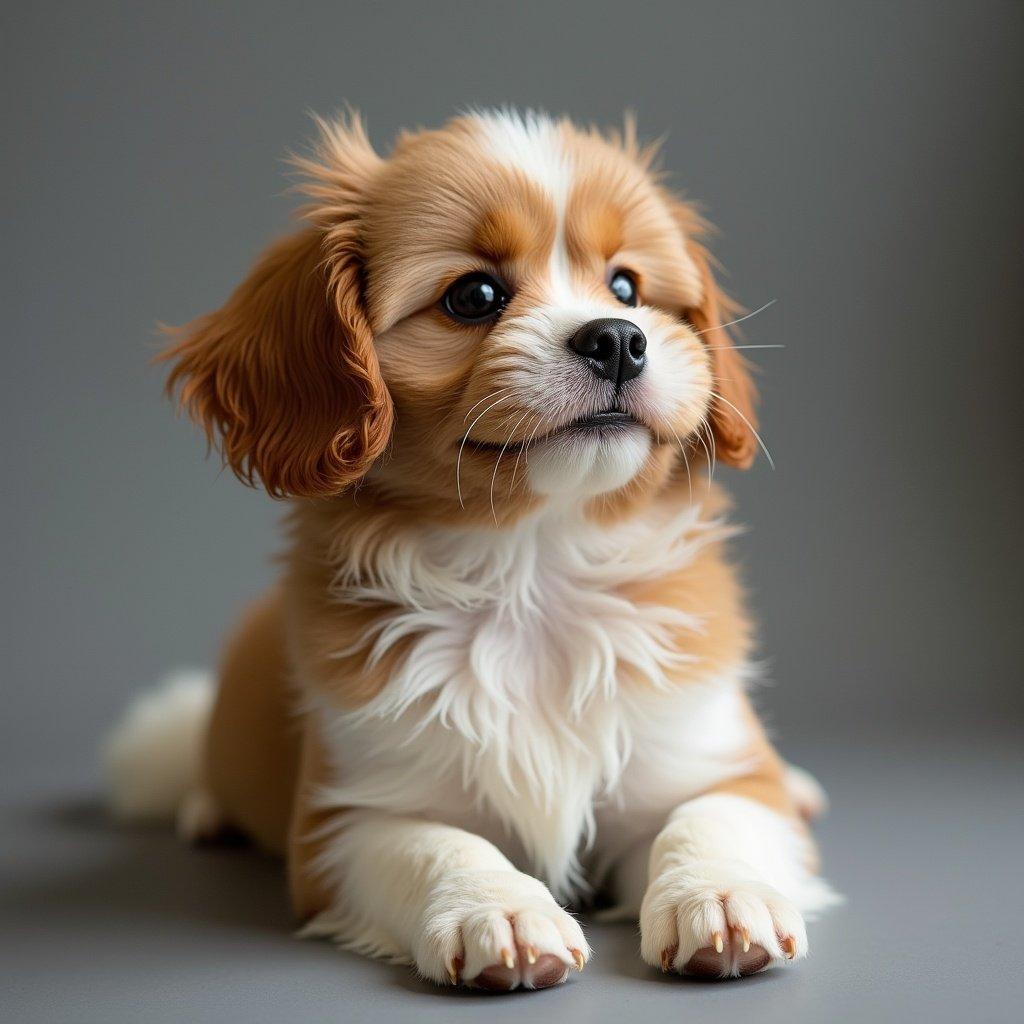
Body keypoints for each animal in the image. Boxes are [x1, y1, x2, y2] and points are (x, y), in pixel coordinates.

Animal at [108, 108, 835, 987]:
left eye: (627, 287)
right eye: (475, 296)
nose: (618, 338)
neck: (534, 564)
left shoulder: (705, 758)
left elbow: (711, 817)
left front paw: (723, 894)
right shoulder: (346, 822)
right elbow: (439, 846)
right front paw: (501, 910)